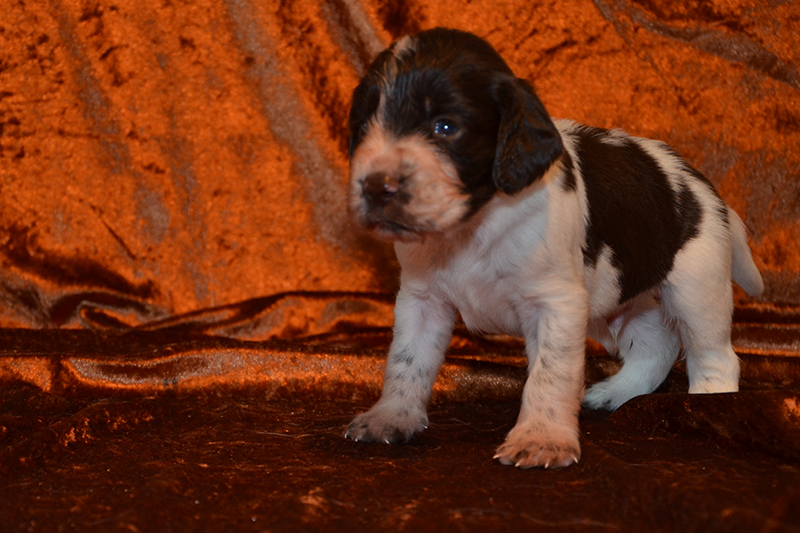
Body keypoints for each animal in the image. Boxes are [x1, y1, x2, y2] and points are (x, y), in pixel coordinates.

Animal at [342, 27, 764, 468]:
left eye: (445, 126)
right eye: (364, 125)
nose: (376, 187)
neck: (474, 225)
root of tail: (705, 188)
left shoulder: (557, 304)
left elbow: (550, 374)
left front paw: (542, 438)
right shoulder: (422, 299)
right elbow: (406, 362)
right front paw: (392, 416)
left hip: (695, 291)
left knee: (715, 356)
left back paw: (706, 406)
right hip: (620, 299)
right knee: (656, 347)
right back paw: (617, 393)